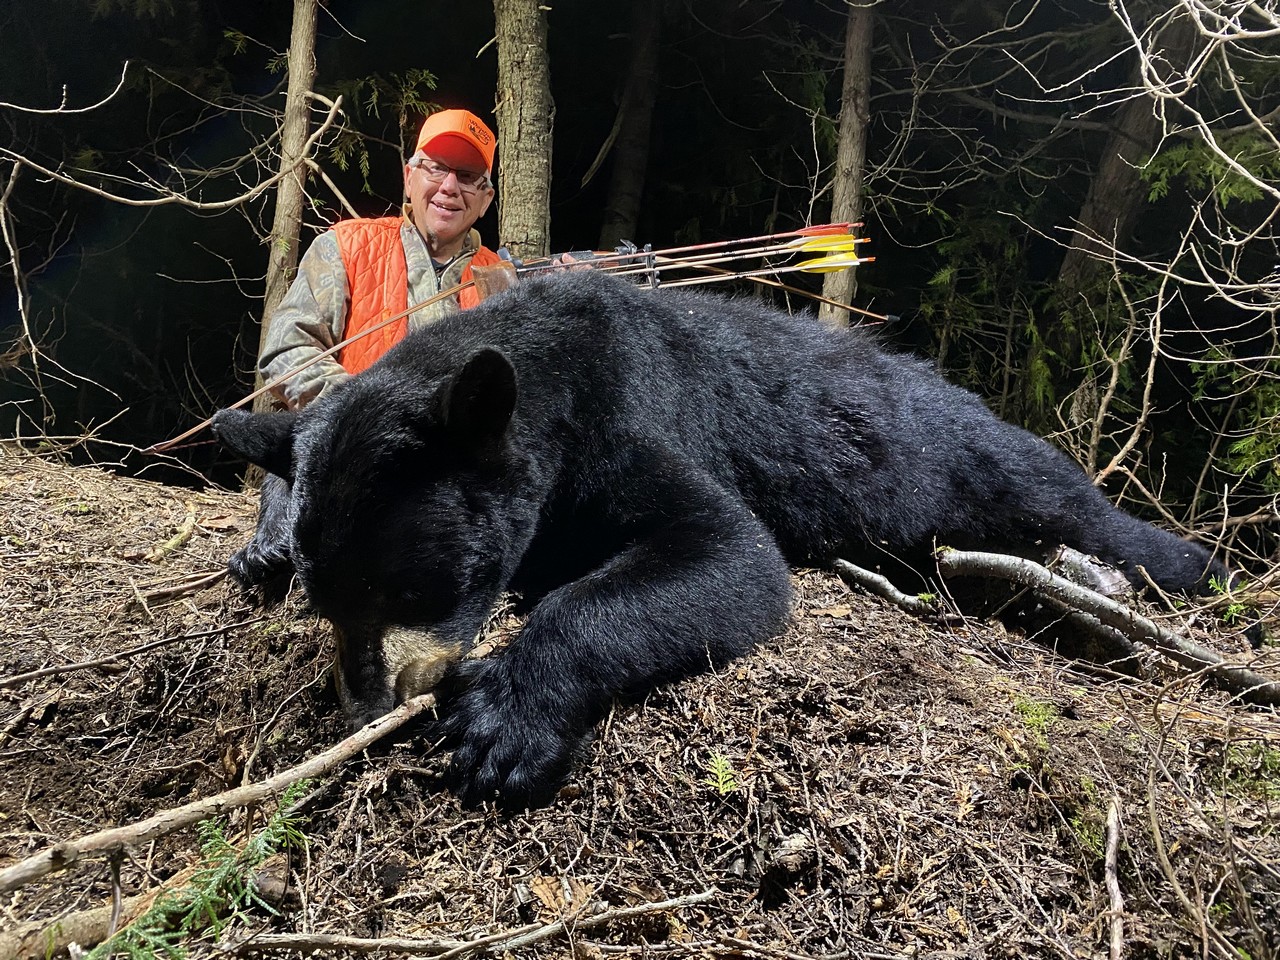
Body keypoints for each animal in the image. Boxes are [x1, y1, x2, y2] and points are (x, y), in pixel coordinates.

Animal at [215, 272, 1223, 814]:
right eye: (328, 600)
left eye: (404, 588)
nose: (363, 709)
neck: (548, 381)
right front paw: (263, 543)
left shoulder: (628, 418)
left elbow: (727, 555)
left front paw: (504, 720)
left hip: (980, 470)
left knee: (1073, 506)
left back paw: (1178, 569)